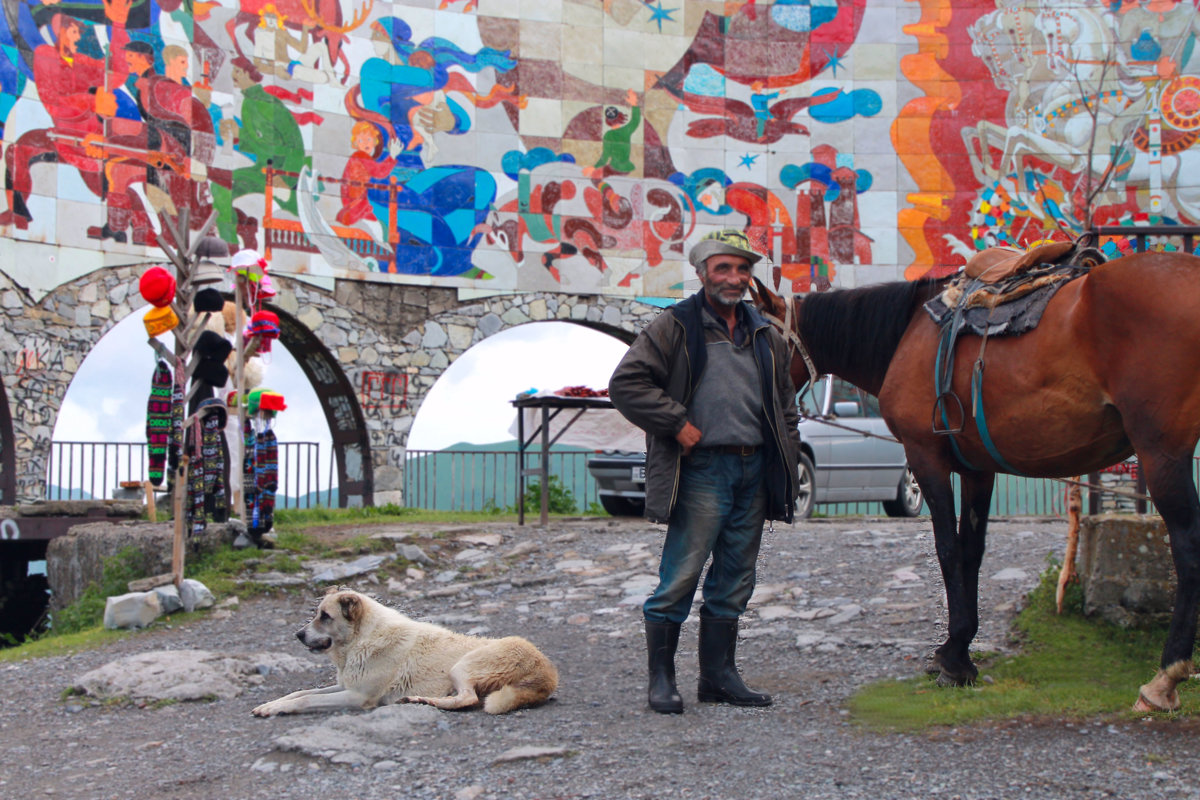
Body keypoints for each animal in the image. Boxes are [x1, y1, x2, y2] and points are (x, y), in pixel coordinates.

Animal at [250, 587, 559, 719]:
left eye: (325, 616)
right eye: (317, 614)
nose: (298, 635)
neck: (362, 639)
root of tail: (546, 672)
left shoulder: (358, 696)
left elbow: (305, 700)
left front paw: (276, 709)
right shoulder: (346, 685)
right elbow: (301, 692)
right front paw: (271, 704)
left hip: (462, 666)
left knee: (468, 699)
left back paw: (423, 700)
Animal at [748, 251, 1200, 714]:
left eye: (760, 335)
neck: (908, 332)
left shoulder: (926, 458)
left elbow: (947, 549)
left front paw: (954, 661)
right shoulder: (977, 469)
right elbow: (971, 551)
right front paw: (958, 650)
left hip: (1161, 455)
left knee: (1187, 549)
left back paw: (1165, 678)